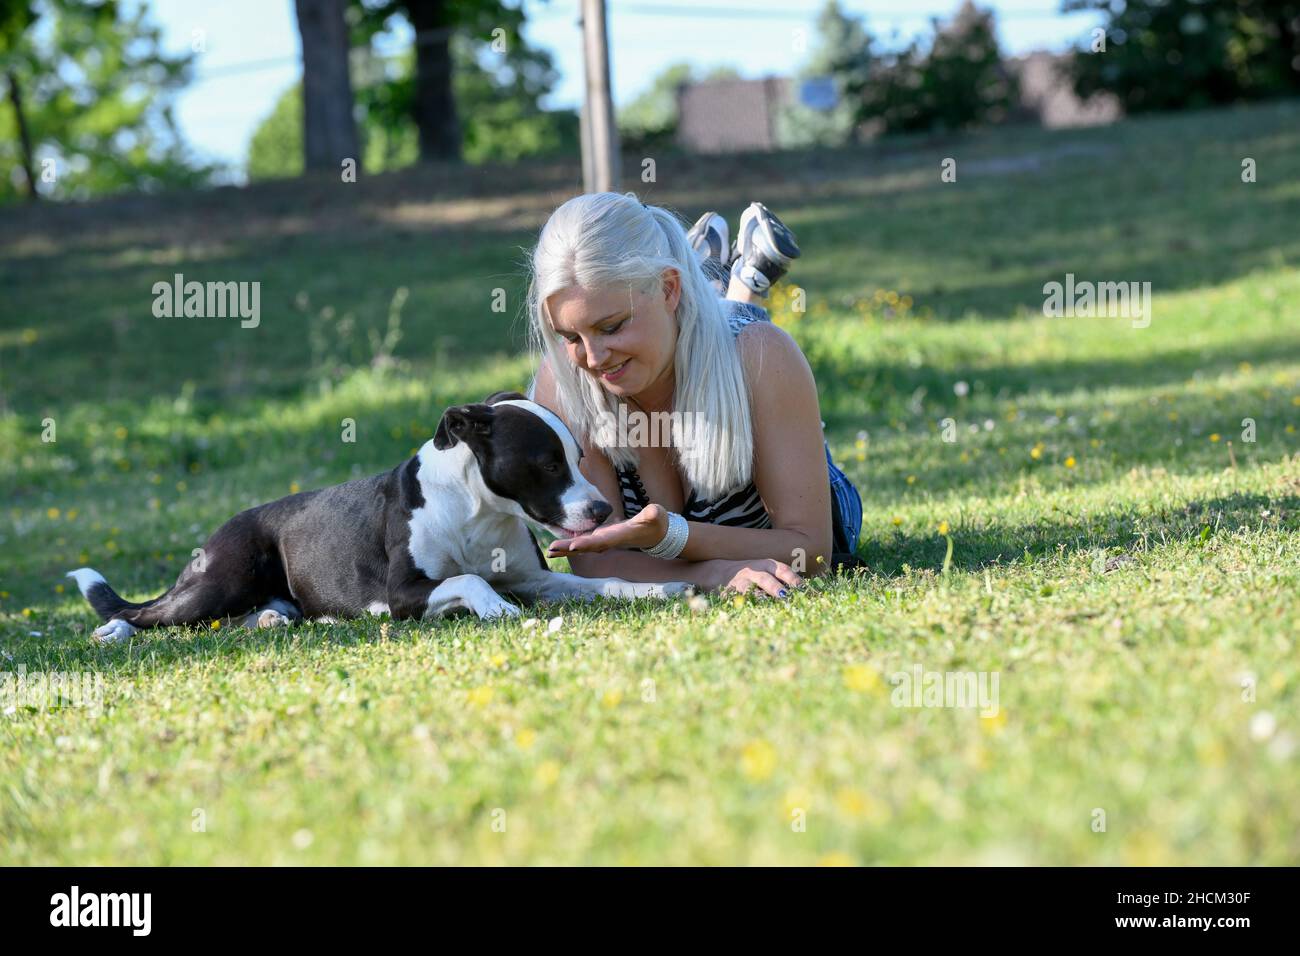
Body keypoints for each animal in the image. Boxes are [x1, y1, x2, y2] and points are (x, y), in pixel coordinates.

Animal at [63, 392, 691, 647]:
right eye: (547, 462)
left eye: (579, 457)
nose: (603, 509)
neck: (477, 511)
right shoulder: (403, 592)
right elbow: (468, 579)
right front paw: (496, 609)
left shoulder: (535, 579)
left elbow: (605, 582)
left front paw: (658, 590)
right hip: (219, 583)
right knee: (147, 613)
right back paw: (114, 630)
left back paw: (273, 621)